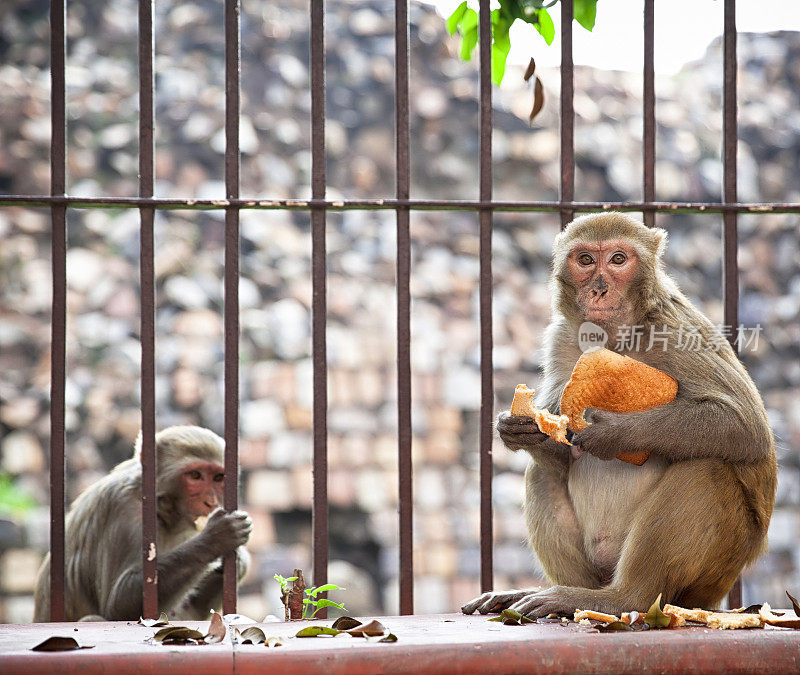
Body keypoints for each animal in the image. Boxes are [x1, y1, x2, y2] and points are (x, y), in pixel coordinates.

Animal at [32, 428, 252, 624]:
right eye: (195, 475)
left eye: (218, 478)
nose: (210, 501)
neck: (161, 509)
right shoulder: (124, 511)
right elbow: (118, 603)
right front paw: (216, 538)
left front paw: (237, 561)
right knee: (92, 618)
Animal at [462, 214, 776, 620]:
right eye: (585, 260)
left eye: (617, 259)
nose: (599, 290)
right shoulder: (562, 338)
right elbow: (558, 450)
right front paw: (517, 429)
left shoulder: (676, 332)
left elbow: (744, 426)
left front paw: (614, 434)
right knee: (542, 473)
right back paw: (564, 596)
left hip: (716, 568)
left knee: (706, 469)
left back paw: (620, 599)